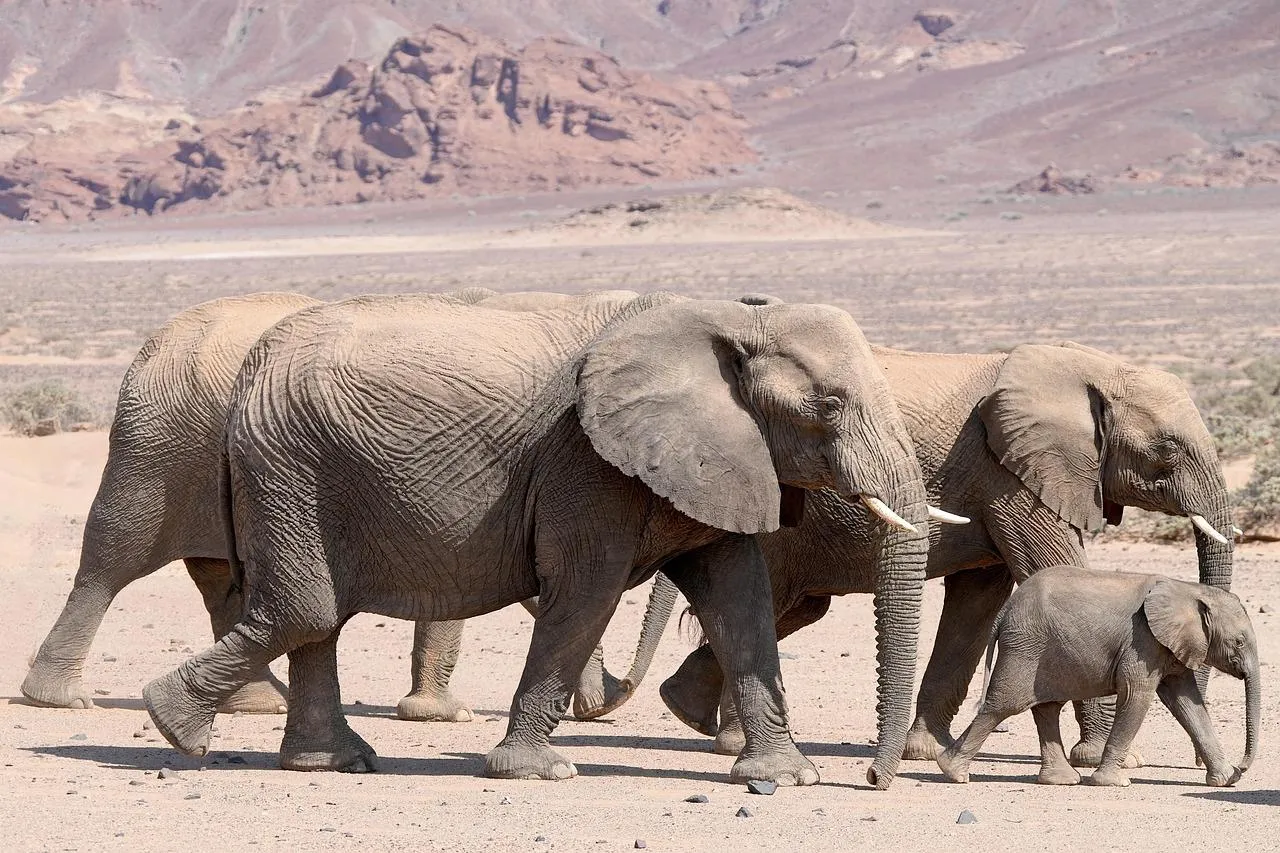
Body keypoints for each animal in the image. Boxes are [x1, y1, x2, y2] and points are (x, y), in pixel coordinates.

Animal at [20, 287, 666, 722]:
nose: (599, 707)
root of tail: (154, 344)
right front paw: (444, 716)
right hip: (156, 444)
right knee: (113, 559)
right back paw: (60, 699)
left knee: (222, 575)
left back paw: (258, 704)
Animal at [141, 292, 932, 786]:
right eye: (829, 406)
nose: (872, 778)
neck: (731, 317)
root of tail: (250, 370)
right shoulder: (584, 463)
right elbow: (587, 592)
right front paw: (538, 771)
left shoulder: (722, 454)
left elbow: (740, 596)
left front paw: (788, 777)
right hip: (291, 468)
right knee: (305, 609)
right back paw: (173, 724)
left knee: (316, 617)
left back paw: (325, 762)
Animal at [645, 340, 1235, 771]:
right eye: (1168, 451)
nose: (1193, 763)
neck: (1086, 367)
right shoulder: (1007, 475)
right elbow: (1048, 570)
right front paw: (1103, 759)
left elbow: (978, 602)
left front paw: (926, 752)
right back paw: (721, 736)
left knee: (794, 608)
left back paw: (689, 712)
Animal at [937, 565, 1258, 787]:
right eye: (1239, 642)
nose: (1242, 767)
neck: (1190, 590)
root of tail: (1005, 611)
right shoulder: (1142, 640)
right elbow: (1136, 696)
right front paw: (1113, 783)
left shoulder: (1168, 646)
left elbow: (1187, 703)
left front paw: (1227, 780)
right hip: (1025, 646)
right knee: (1003, 705)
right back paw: (953, 772)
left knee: (1046, 708)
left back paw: (1061, 780)